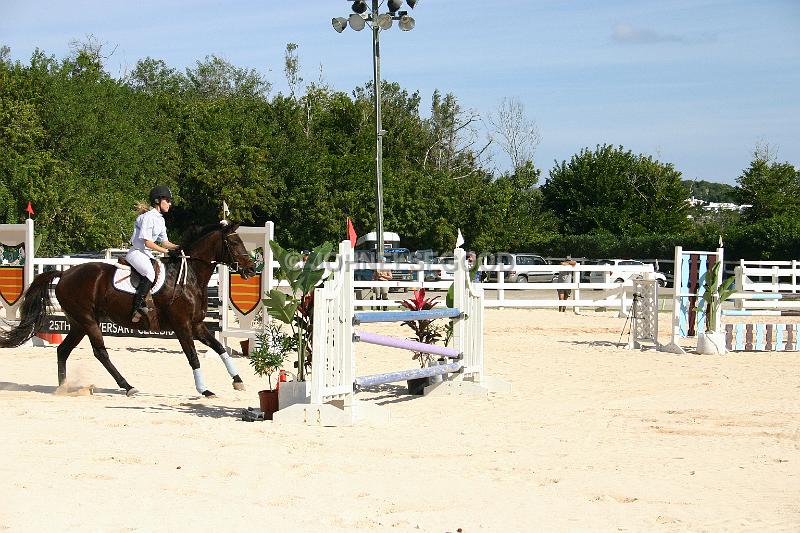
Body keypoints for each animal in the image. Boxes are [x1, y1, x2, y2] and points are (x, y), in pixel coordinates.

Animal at [0, 219, 255, 394]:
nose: (251, 269)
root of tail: (65, 273)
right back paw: (127, 386)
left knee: (63, 350)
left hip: (78, 323)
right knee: (100, 352)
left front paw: (238, 380)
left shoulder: (197, 325)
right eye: (234, 242)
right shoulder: (182, 326)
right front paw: (204, 390)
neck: (189, 276)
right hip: (88, 321)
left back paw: (63, 388)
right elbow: (193, 357)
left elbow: (219, 348)